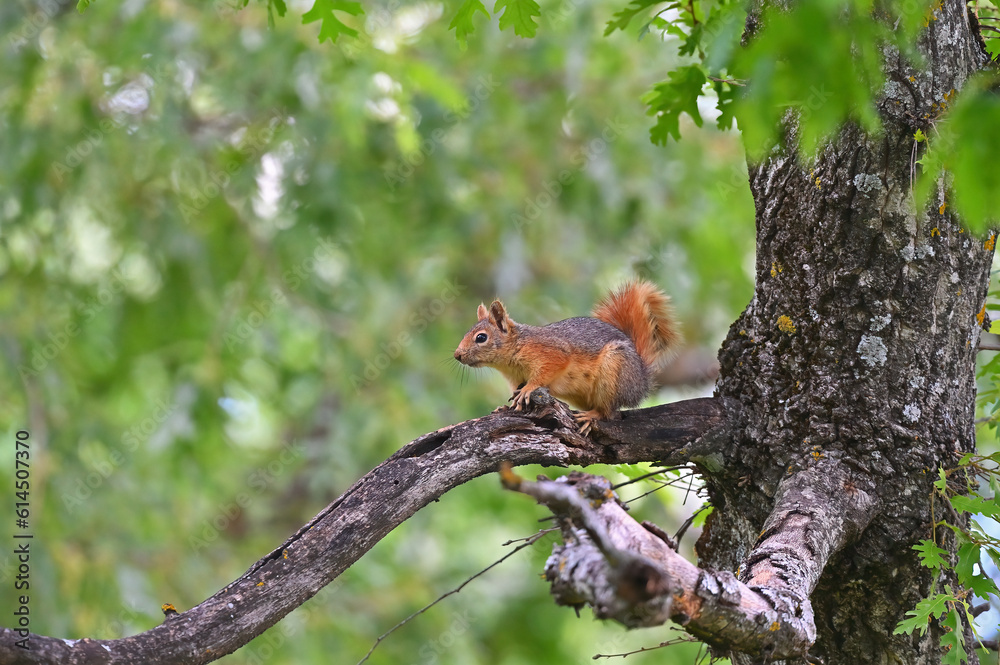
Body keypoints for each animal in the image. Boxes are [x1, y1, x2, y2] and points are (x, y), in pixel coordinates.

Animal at [456, 278, 680, 430]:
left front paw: (529, 388)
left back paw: (592, 416)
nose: (457, 355)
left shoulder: (551, 352)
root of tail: (641, 380)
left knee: (609, 412)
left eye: (481, 338)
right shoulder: (514, 378)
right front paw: (505, 406)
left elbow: (547, 370)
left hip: (614, 372)